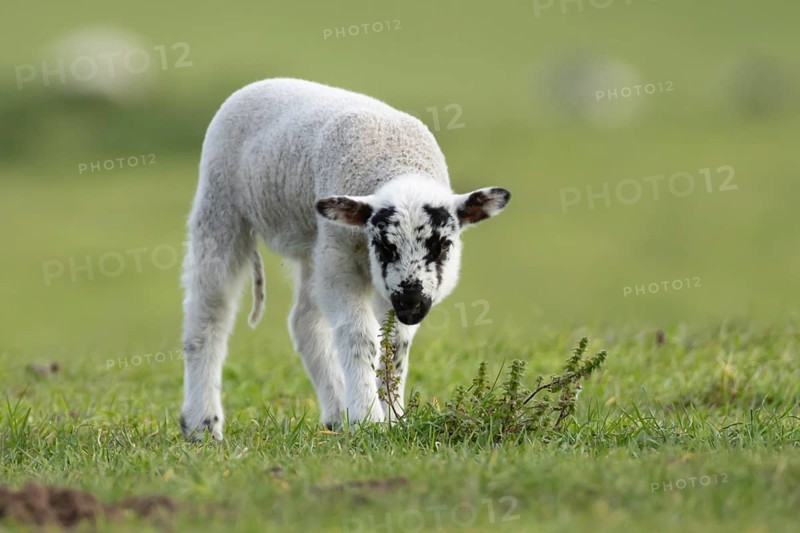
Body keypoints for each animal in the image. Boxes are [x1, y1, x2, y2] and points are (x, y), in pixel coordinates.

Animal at [180, 78, 510, 440]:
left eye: (443, 246)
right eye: (383, 246)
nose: (411, 306)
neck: (398, 160)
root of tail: (261, 84)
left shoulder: (382, 283)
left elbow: (394, 345)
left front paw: (395, 418)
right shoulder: (342, 261)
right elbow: (359, 336)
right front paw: (369, 419)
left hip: (315, 244)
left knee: (305, 322)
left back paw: (337, 415)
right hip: (220, 206)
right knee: (209, 316)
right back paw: (202, 425)